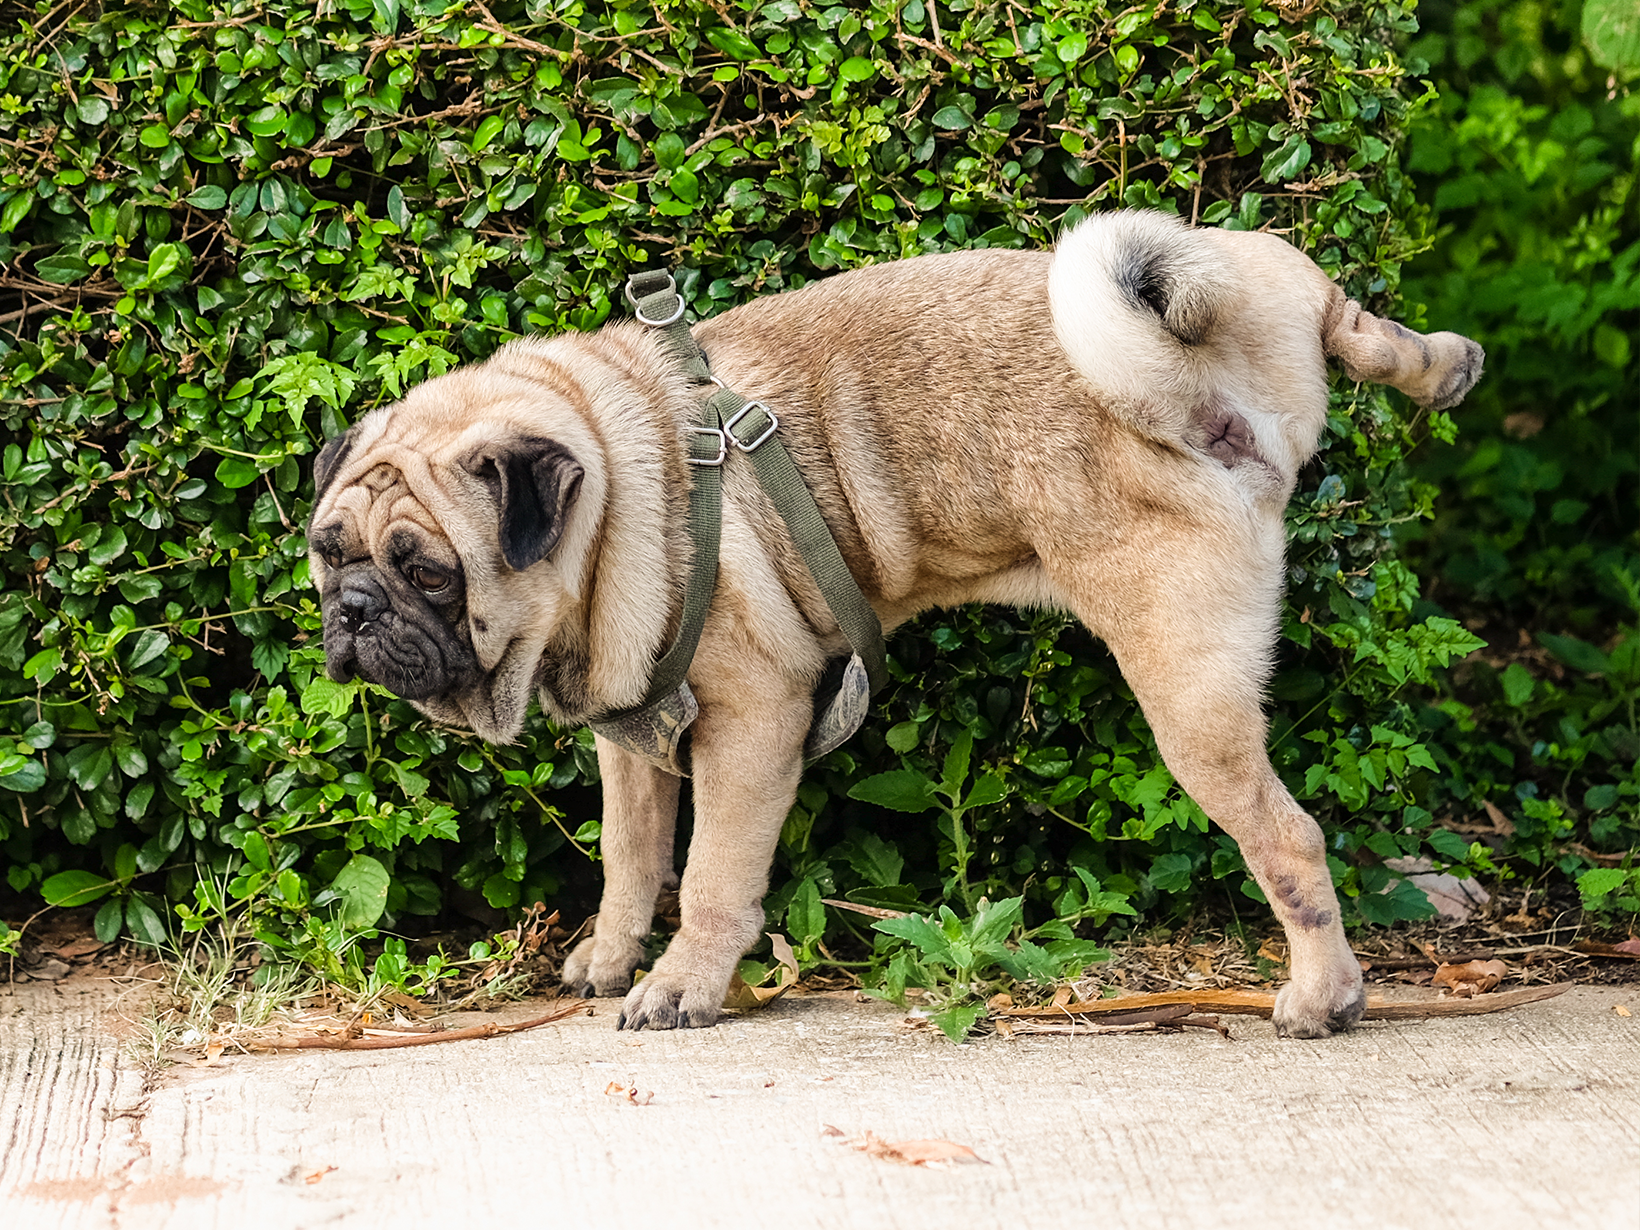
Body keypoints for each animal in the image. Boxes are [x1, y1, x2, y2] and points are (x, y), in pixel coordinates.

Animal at [308, 211, 1489, 1043]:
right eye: (327, 554)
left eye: (429, 573)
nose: (355, 613)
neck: (615, 487)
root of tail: (1207, 404)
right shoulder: (631, 737)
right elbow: (630, 859)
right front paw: (607, 959)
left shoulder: (751, 724)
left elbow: (711, 875)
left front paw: (680, 986)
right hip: (1239, 279)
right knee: (1316, 293)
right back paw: (1443, 362)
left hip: (1184, 684)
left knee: (1286, 839)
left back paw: (1321, 997)